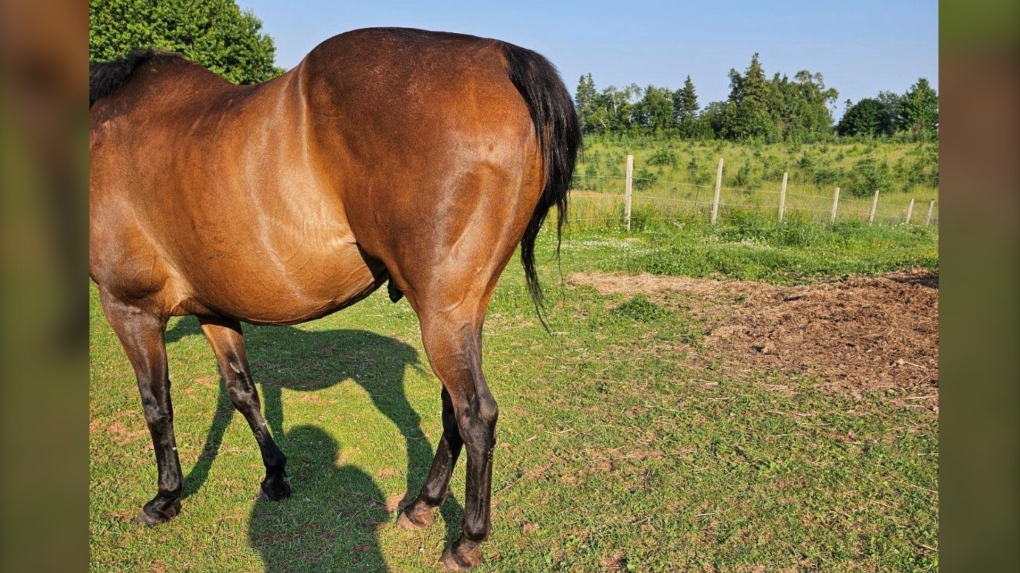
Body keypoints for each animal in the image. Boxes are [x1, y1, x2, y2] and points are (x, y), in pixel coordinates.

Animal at [89, 25, 583, 566]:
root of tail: (501, 58)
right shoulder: (215, 310)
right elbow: (243, 392)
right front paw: (275, 474)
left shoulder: (129, 308)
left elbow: (157, 405)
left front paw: (165, 498)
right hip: (458, 315)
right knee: (454, 411)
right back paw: (421, 506)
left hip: (443, 316)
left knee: (476, 416)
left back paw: (466, 540)